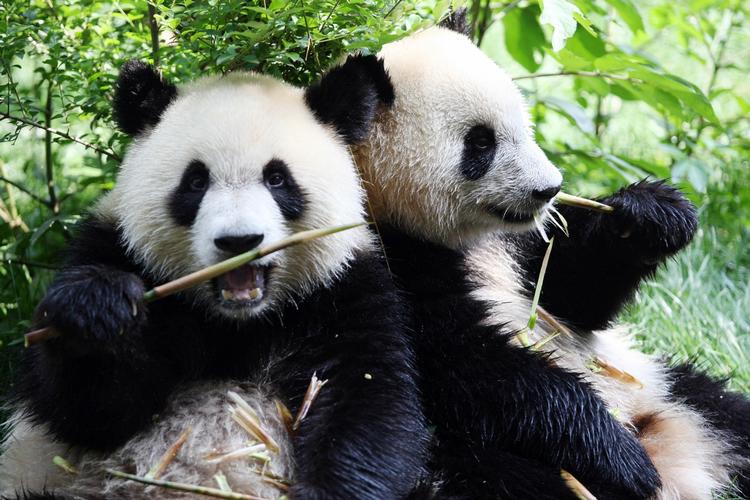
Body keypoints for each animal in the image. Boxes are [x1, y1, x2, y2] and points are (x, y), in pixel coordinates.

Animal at [0, 56, 428, 499]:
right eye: (196, 181)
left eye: (277, 179)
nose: (239, 240)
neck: (238, 322)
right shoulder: (113, 248)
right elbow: (86, 409)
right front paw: (98, 312)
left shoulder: (342, 290)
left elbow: (366, 405)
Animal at [353, 17, 750, 500]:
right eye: (480, 143)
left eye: (523, 127)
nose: (550, 189)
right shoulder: (394, 262)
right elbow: (472, 369)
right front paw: (620, 456)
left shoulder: (515, 248)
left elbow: (572, 292)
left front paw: (653, 215)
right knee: (494, 475)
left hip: (665, 388)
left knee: (724, 409)